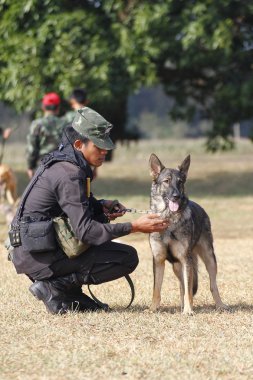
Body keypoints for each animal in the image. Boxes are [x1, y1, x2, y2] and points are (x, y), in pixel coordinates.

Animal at [149, 154, 228, 314]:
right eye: (166, 181)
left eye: (180, 182)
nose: (176, 196)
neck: (169, 220)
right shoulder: (158, 260)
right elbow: (157, 289)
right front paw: (153, 309)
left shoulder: (186, 259)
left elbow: (189, 291)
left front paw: (188, 311)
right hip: (177, 267)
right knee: (183, 287)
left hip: (209, 259)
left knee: (211, 285)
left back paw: (219, 305)